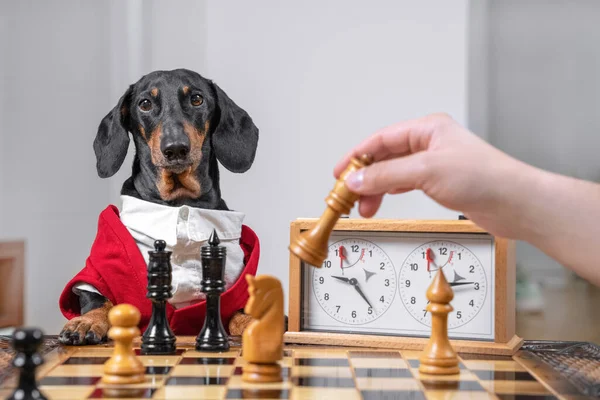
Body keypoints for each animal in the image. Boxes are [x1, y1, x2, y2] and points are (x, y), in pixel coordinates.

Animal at [57, 69, 258, 344]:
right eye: (145, 104)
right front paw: (87, 321)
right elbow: (99, 299)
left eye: (197, 99)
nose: (175, 149)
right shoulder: (97, 270)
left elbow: (239, 310)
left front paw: (252, 322)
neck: (179, 205)